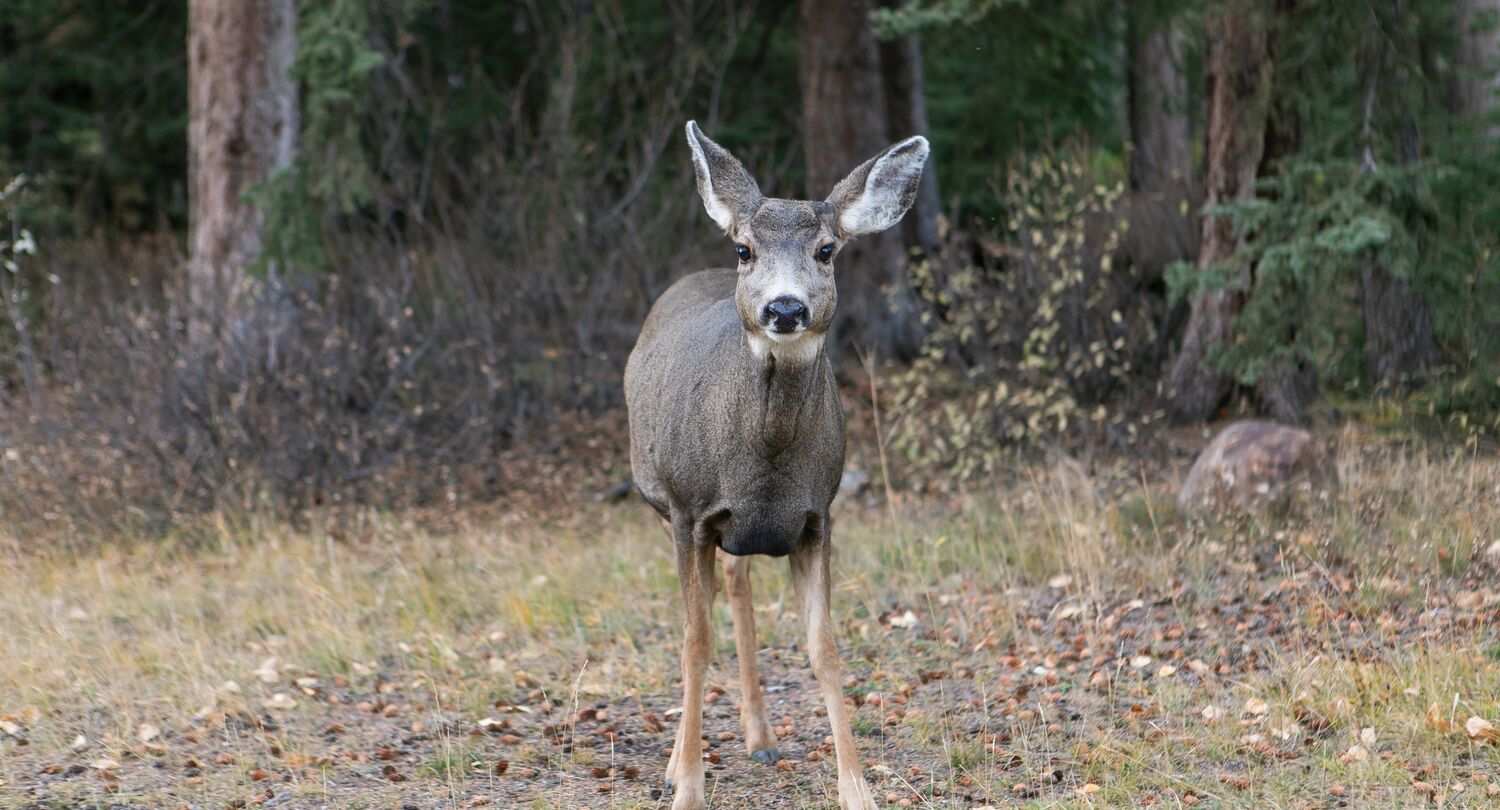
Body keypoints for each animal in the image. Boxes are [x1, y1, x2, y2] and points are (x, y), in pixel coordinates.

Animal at [624, 121, 929, 810]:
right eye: (745, 250)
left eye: (827, 250)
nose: (785, 309)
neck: (764, 464)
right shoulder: (689, 511)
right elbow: (694, 643)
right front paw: (687, 787)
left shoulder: (816, 517)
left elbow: (824, 649)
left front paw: (856, 789)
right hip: (661, 502)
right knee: (706, 605)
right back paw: (682, 760)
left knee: (736, 584)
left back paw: (760, 736)